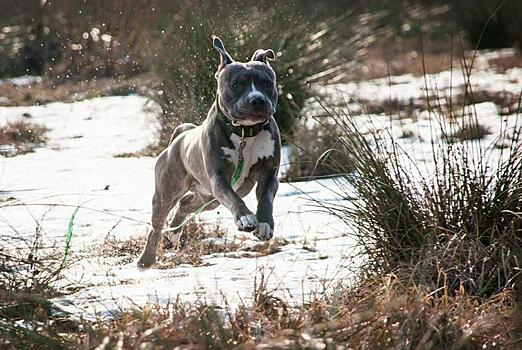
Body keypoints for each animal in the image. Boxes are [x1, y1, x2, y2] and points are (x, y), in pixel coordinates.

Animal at [136, 35, 278, 270]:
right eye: (236, 85)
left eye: (267, 83)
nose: (257, 99)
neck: (244, 132)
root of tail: (180, 137)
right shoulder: (218, 179)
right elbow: (232, 199)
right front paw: (245, 218)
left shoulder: (269, 173)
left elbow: (266, 198)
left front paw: (265, 223)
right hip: (168, 193)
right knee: (157, 226)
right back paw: (146, 259)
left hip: (209, 197)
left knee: (186, 204)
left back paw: (175, 232)